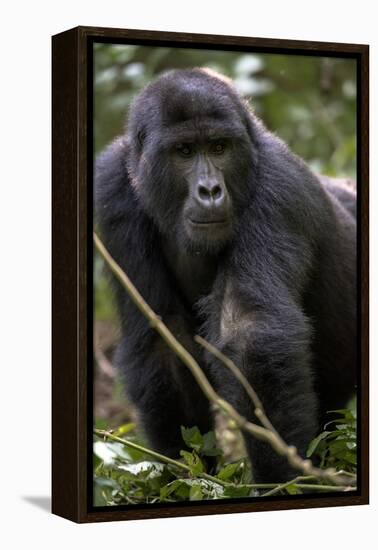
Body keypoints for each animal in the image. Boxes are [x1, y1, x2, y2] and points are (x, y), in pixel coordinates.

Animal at [95, 68, 358, 484]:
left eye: (219, 147)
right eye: (184, 151)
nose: (210, 190)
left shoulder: (279, 188)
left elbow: (251, 332)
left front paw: (282, 480)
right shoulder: (112, 192)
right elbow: (164, 340)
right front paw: (184, 475)